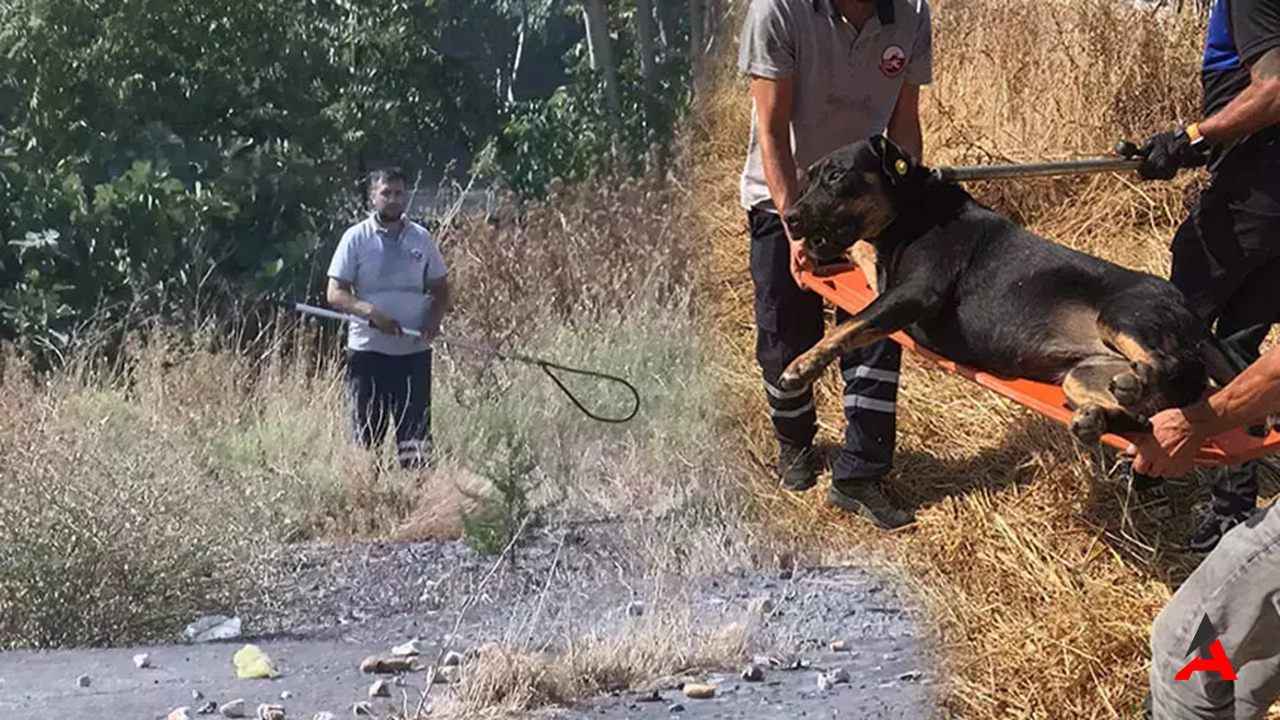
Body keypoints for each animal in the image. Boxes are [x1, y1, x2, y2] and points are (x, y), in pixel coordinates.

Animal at [773, 134, 1223, 443]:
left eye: (836, 175)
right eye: (808, 180)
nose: (789, 217)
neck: (911, 208)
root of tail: (1194, 317)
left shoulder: (916, 292)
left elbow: (851, 326)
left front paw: (802, 364)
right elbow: (861, 273)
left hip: (1122, 316)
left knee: (1170, 366)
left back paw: (1136, 382)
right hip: (1081, 376)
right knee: (1147, 415)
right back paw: (1099, 417)